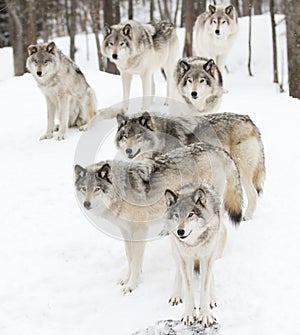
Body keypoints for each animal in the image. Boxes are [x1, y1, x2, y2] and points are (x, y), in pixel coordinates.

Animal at [74, 143, 243, 296]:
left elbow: (136, 261)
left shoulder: (139, 231)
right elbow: (129, 258)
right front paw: (126, 279)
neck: (121, 192)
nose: (86, 204)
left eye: (97, 189)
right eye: (84, 189)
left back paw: (216, 256)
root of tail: (216, 148)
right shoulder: (125, 232)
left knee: (222, 230)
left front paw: (131, 285)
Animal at [115, 113, 264, 222]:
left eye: (138, 136)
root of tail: (248, 119)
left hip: (240, 172)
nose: (128, 151)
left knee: (252, 193)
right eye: (125, 136)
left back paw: (246, 217)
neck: (161, 140)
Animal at [164, 184, 227, 328]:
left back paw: (212, 298)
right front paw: (189, 314)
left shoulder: (207, 257)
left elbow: (204, 287)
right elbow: (188, 288)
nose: (180, 231)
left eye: (191, 214)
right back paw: (176, 295)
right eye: (176, 215)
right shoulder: (185, 258)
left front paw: (205, 315)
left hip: (215, 248)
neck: (194, 244)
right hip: (175, 249)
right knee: (178, 270)